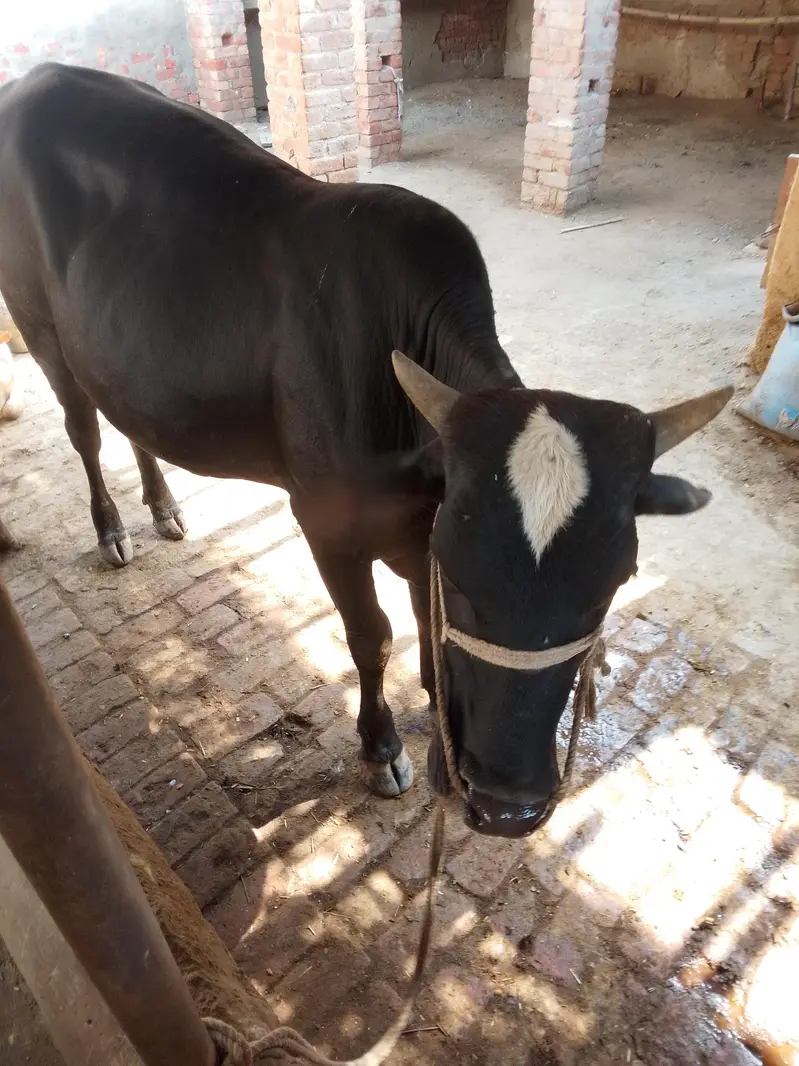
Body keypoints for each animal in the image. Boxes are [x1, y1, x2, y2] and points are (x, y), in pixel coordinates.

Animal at [0, 64, 732, 837]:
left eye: (613, 584)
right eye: (464, 577)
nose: (509, 807)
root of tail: (38, 75)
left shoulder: (417, 529)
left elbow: (427, 635)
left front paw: (441, 728)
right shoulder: (326, 524)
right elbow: (372, 636)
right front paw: (381, 749)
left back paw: (165, 508)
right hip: (39, 327)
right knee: (83, 428)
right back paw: (111, 529)